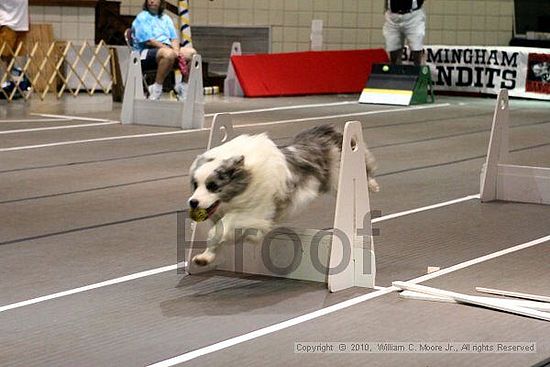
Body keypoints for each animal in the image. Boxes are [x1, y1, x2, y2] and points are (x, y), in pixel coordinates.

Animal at [190, 125, 380, 266]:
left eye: (213, 186)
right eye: (195, 185)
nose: (193, 202)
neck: (247, 178)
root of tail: (327, 130)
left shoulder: (255, 211)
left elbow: (222, 227)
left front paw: (249, 237)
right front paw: (205, 257)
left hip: (340, 175)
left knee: (366, 169)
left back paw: (372, 185)